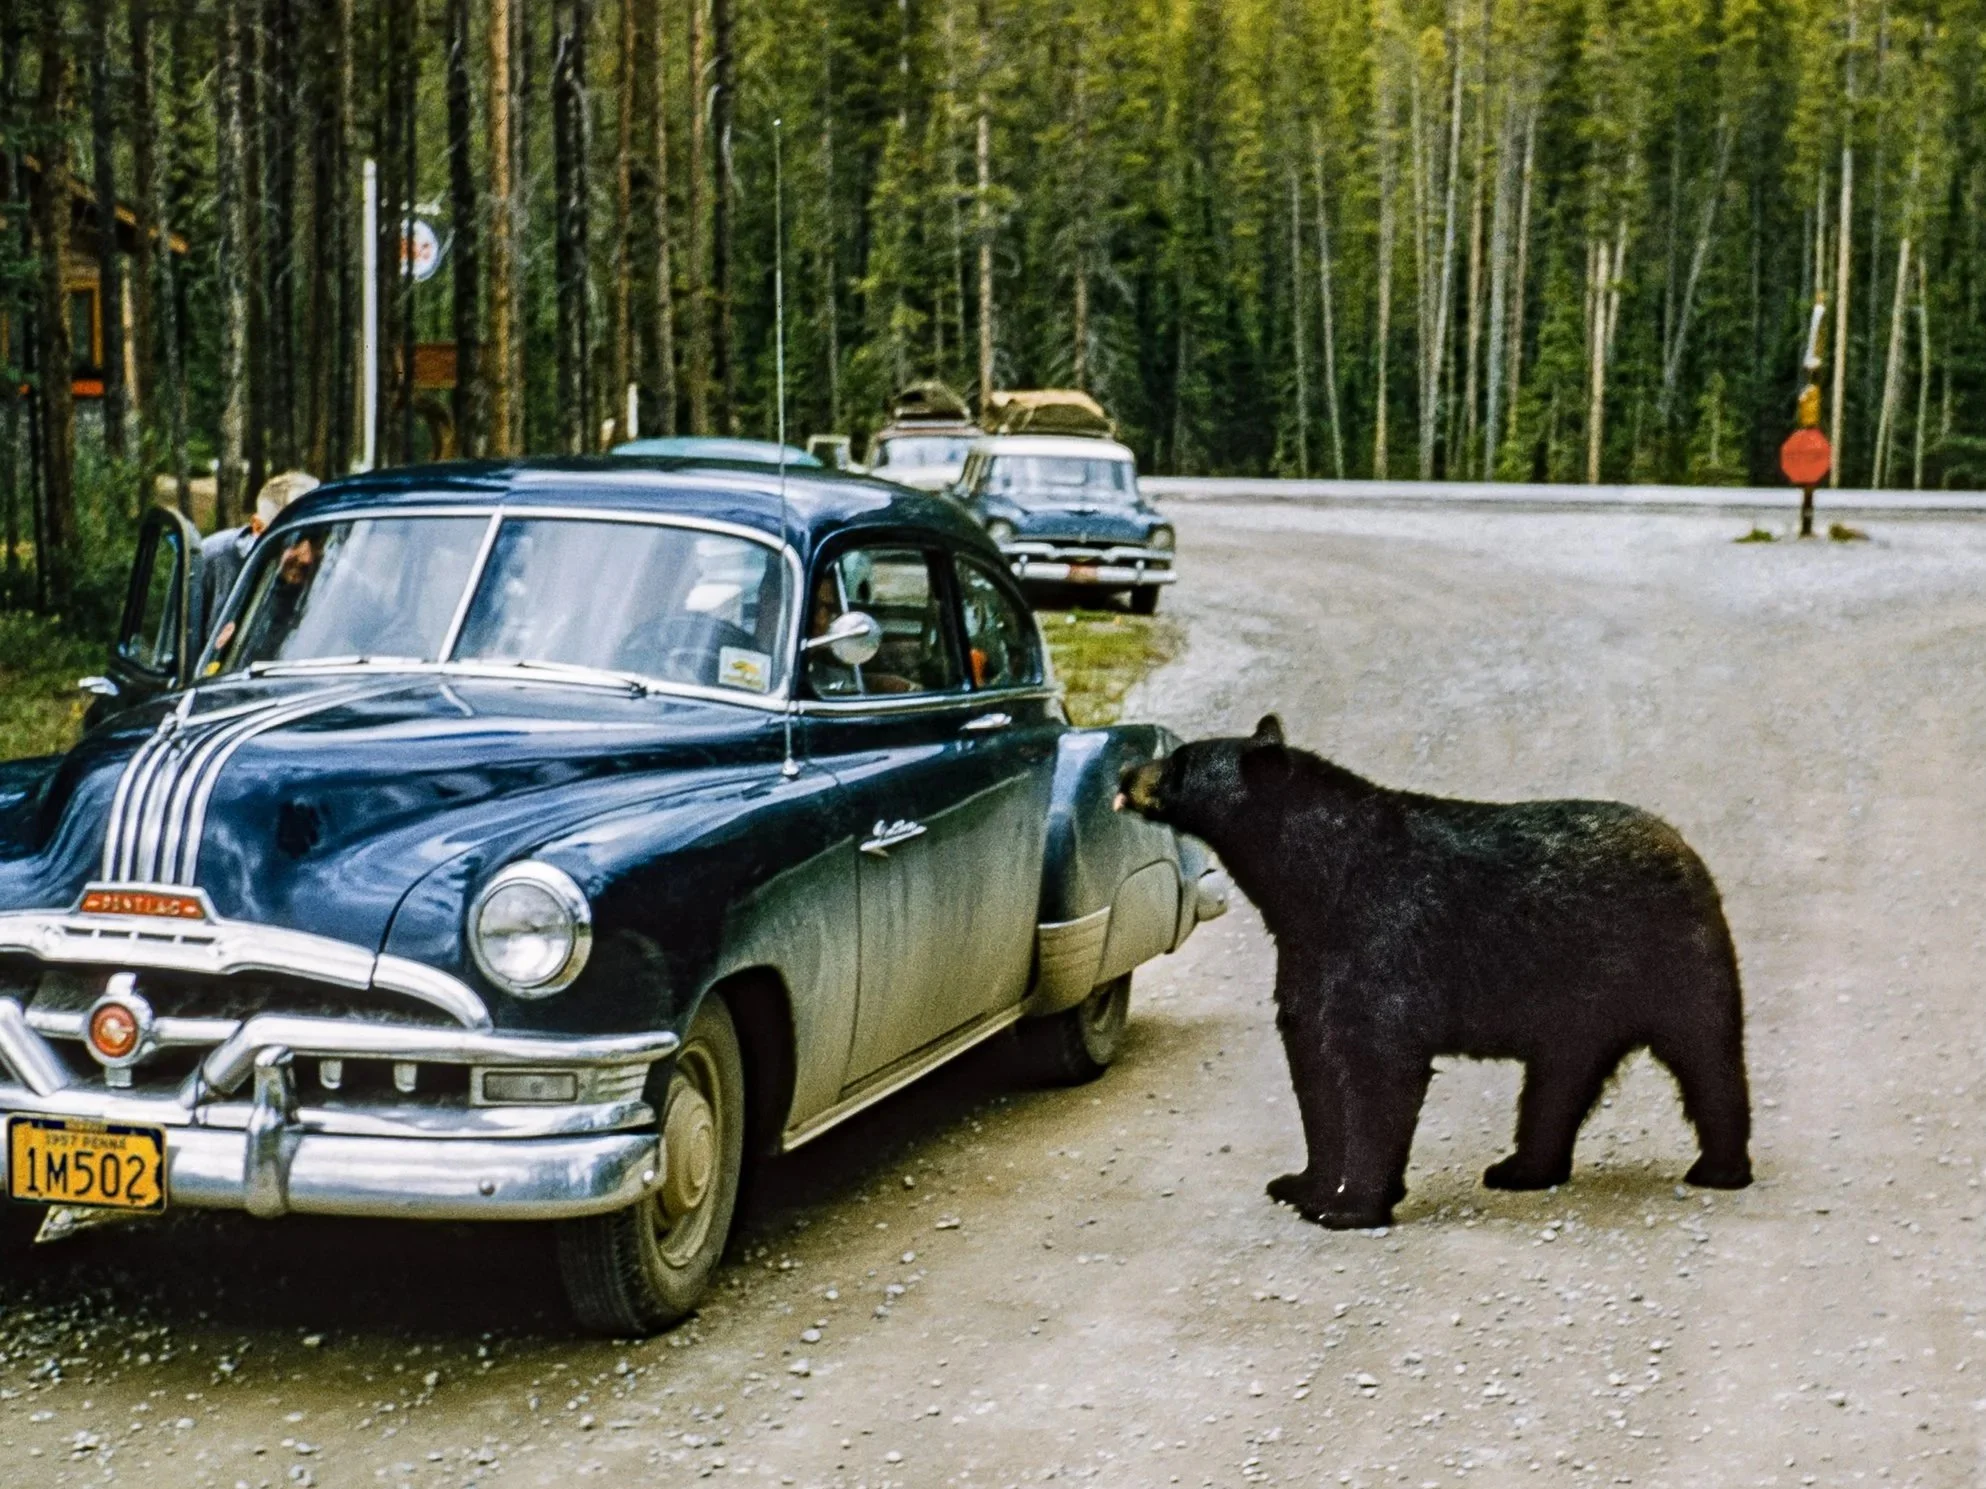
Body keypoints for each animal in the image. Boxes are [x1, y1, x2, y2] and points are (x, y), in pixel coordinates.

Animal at [1117, 715, 1753, 1230]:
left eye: (1178, 762)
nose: (1124, 773)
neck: (1315, 886)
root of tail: (1682, 847)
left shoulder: (1385, 937)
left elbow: (1377, 1062)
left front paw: (1350, 1207)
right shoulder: (1311, 958)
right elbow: (1313, 1061)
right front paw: (1302, 1184)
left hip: (1671, 956)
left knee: (1706, 1055)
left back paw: (1720, 1168)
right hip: (1579, 1004)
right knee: (1561, 1077)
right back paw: (1522, 1169)